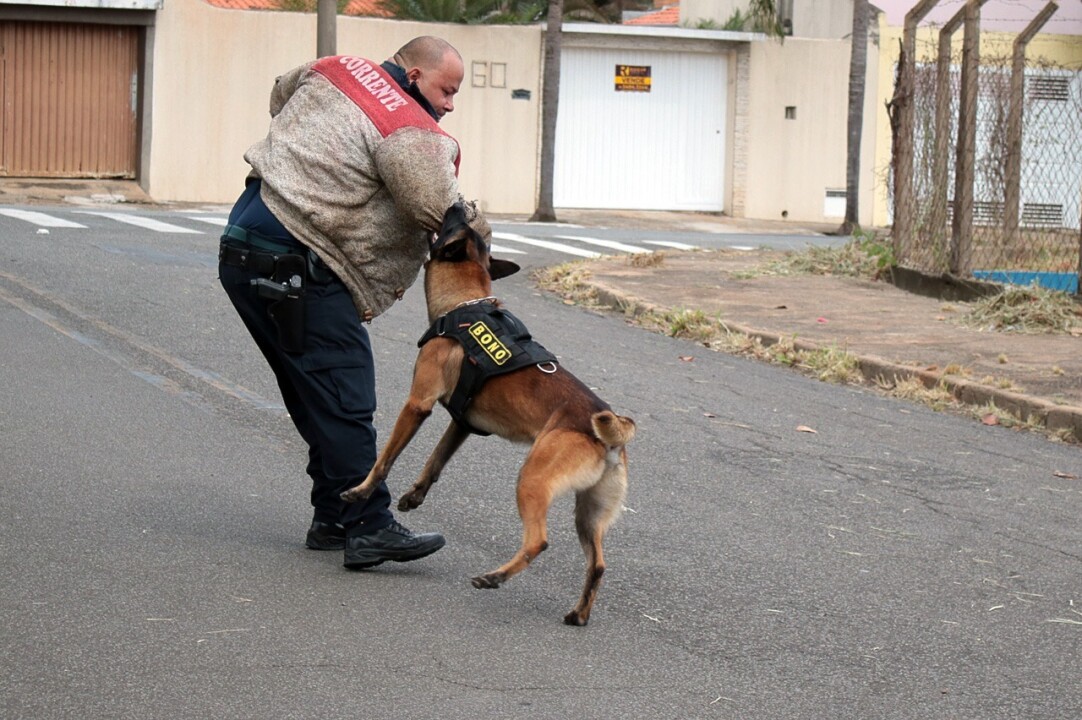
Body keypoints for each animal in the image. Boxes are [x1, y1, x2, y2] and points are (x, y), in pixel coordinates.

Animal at [341, 203, 631, 623]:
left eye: (453, 223)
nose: (460, 204)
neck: (464, 305)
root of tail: (609, 433)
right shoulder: (462, 423)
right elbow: (435, 462)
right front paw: (414, 496)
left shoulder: (417, 404)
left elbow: (385, 459)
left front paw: (361, 490)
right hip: (589, 514)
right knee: (598, 564)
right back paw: (578, 614)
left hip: (532, 480)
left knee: (539, 541)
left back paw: (495, 577)